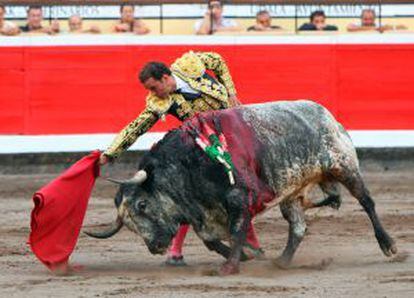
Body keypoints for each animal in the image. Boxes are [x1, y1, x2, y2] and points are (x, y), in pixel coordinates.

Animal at [86, 100, 398, 274]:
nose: (155, 246)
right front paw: (247, 255)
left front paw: (230, 266)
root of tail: (327, 115)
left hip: (344, 166)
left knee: (367, 202)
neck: (187, 165)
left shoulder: (238, 198)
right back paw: (281, 262)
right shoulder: (202, 214)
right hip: (291, 192)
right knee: (298, 227)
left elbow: (236, 230)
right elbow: (211, 240)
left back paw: (388, 245)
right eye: (128, 224)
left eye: (141, 204)